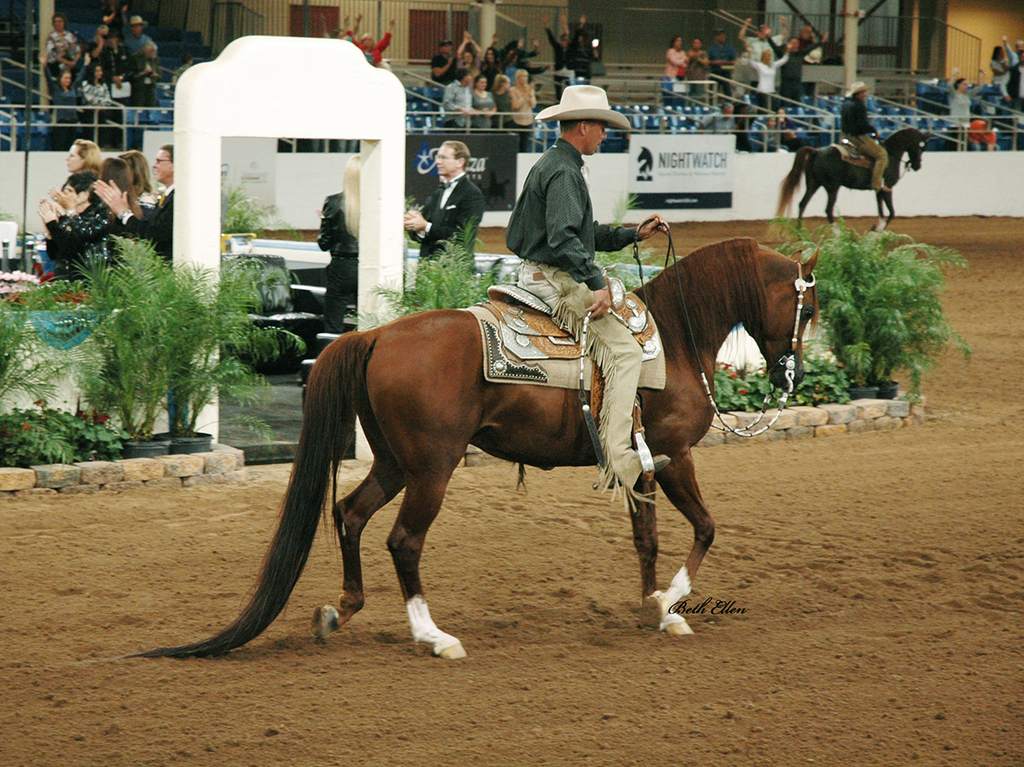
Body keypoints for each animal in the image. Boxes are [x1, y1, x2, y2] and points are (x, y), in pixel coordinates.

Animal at [134, 237, 819, 660]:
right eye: (808, 307)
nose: (792, 373)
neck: (674, 339)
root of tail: (377, 336)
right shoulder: (674, 455)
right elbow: (704, 527)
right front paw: (670, 605)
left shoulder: (643, 464)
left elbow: (648, 538)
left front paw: (654, 605)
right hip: (432, 468)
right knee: (402, 541)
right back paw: (434, 636)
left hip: (396, 463)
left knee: (350, 514)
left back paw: (340, 612)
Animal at [776, 127, 927, 231]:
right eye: (920, 147)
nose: (917, 166)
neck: (890, 155)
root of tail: (817, 151)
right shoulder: (887, 188)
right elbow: (891, 213)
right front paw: (880, 230)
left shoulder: (878, 190)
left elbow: (881, 210)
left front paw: (876, 228)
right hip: (832, 187)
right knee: (828, 210)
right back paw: (838, 233)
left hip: (813, 184)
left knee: (802, 204)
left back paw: (800, 233)